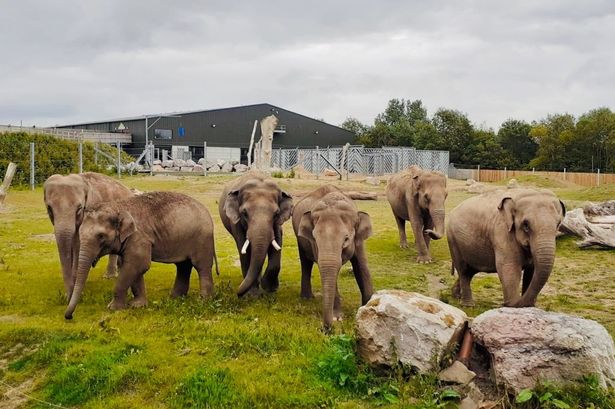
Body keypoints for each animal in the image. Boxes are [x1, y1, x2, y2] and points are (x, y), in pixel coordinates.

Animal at [64, 191, 219, 318]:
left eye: (101, 236)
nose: (69, 316)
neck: (118, 207)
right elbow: (131, 266)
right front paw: (137, 305)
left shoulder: (139, 237)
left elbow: (139, 264)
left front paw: (113, 308)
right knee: (183, 266)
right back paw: (175, 298)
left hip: (202, 239)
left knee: (201, 266)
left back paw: (203, 301)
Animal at [294, 185, 376, 332]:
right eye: (315, 238)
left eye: (346, 239)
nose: (325, 329)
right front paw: (337, 318)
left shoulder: (358, 240)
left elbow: (361, 268)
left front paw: (368, 308)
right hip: (299, 238)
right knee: (305, 262)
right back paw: (307, 298)